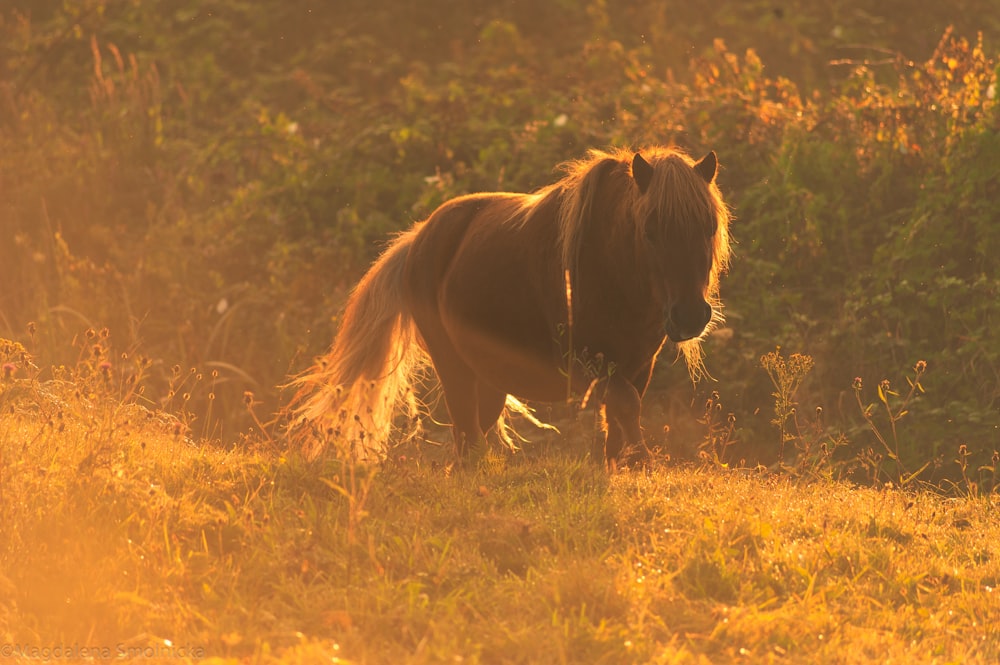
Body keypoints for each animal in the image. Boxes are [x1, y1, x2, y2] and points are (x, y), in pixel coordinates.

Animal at [286, 145, 732, 462]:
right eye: (651, 230)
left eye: (708, 226)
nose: (691, 316)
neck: (608, 268)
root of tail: (420, 238)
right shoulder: (589, 360)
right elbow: (625, 405)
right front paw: (641, 459)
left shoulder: (638, 364)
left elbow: (622, 415)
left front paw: (624, 463)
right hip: (453, 366)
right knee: (466, 437)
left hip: (489, 376)